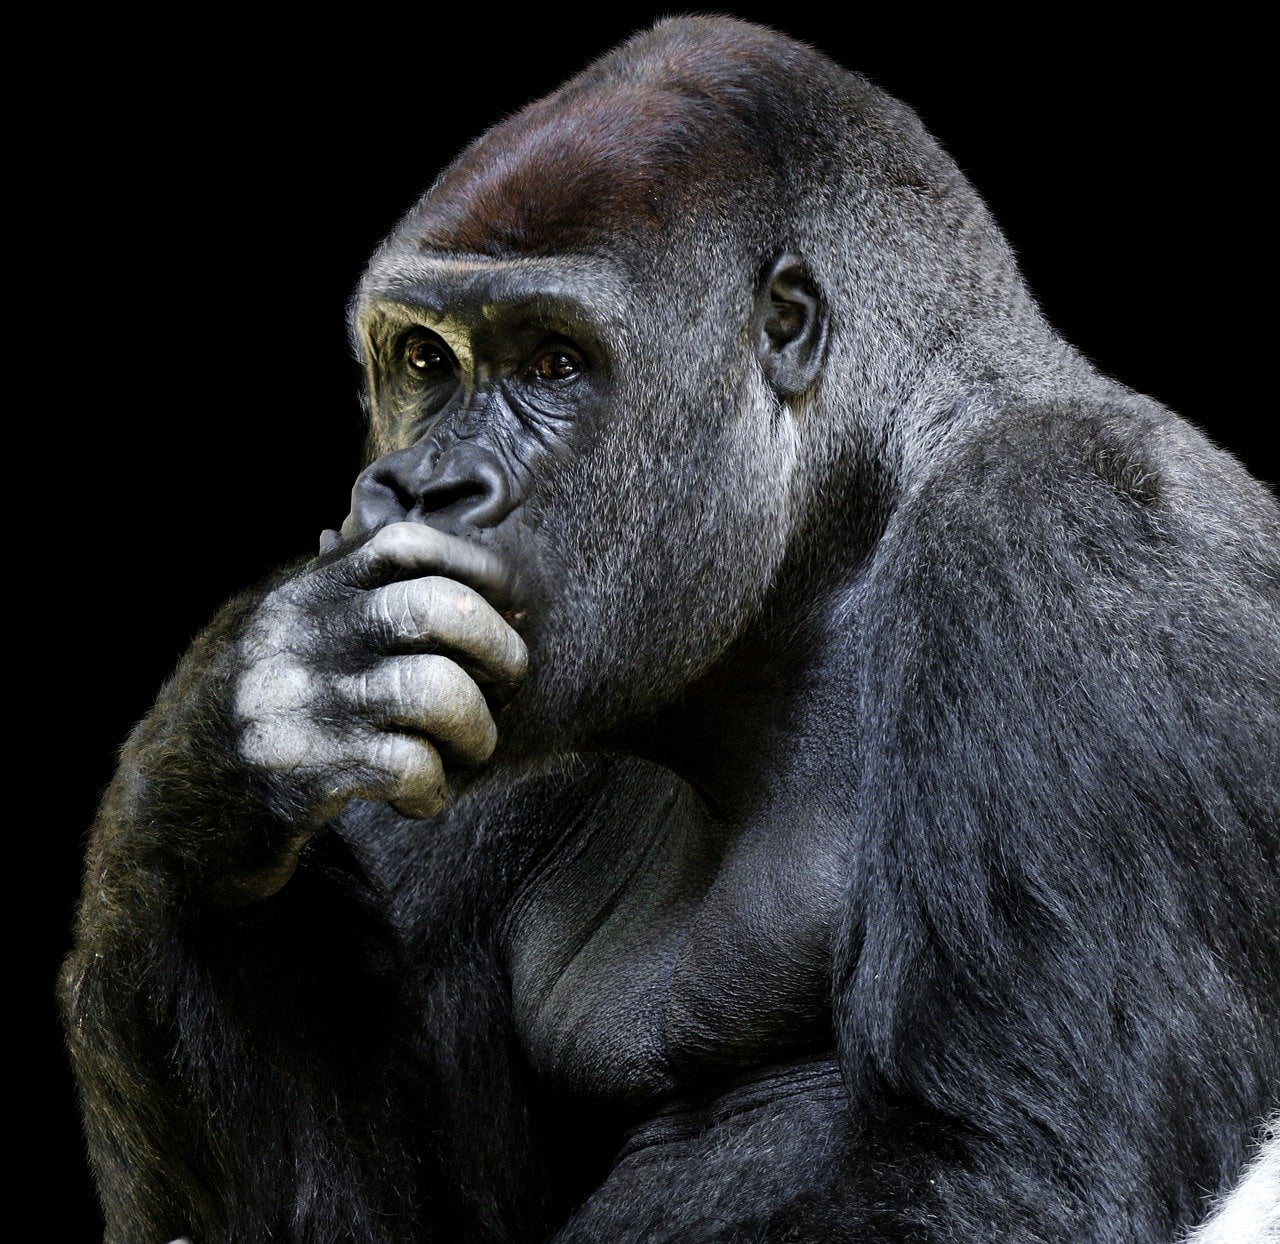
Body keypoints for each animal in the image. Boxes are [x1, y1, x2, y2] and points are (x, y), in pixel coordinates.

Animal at [62, 16, 1279, 1242]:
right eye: (424, 361)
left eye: (554, 361)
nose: (419, 489)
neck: (841, 525)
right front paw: (224, 758)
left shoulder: (1064, 527)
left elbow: (1004, 1167)